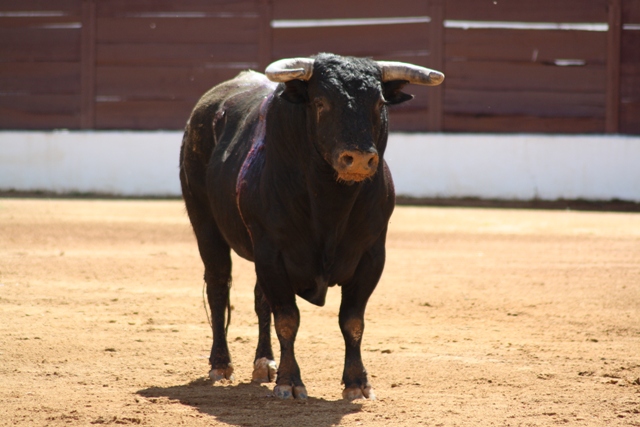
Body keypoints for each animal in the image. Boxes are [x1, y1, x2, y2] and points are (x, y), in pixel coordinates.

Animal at [178, 53, 442, 402]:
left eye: (378, 102)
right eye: (320, 102)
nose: (359, 158)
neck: (330, 203)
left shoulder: (372, 255)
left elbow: (352, 320)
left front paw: (357, 383)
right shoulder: (272, 252)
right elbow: (288, 318)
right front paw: (290, 382)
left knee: (260, 298)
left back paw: (264, 363)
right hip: (205, 224)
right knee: (219, 287)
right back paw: (221, 365)